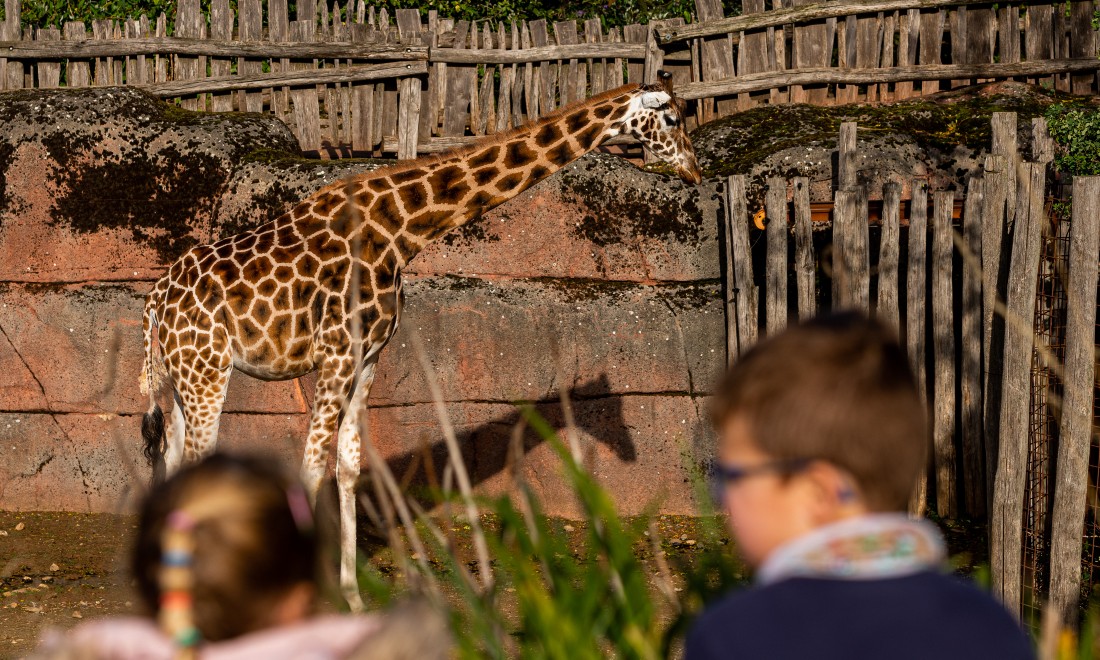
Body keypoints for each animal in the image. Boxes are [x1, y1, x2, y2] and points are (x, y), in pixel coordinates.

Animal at [139, 68, 704, 607]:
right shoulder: (336, 356)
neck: (400, 231)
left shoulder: (368, 358)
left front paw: (352, 595)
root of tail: (156, 302)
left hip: (181, 381)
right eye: (673, 118)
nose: (696, 172)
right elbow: (311, 471)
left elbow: (348, 468)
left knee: (172, 465)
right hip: (207, 374)